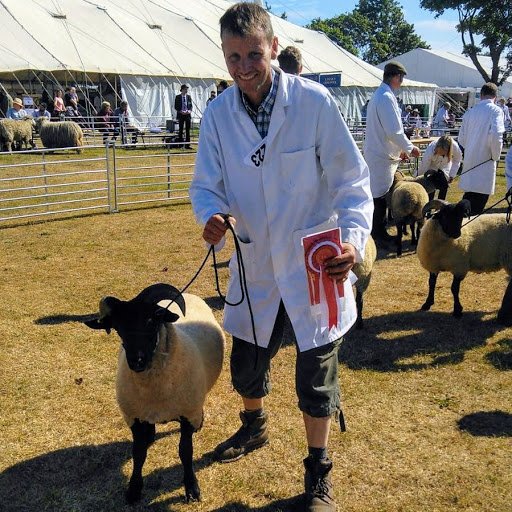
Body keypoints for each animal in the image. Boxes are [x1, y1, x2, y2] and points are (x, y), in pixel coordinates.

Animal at [84, 284, 224, 504]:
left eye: (151, 320)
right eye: (118, 327)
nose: (136, 361)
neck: (155, 391)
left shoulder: (187, 414)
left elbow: (185, 452)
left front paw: (192, 488)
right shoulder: (133, 417)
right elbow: (138, 453)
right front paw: (134, 489)